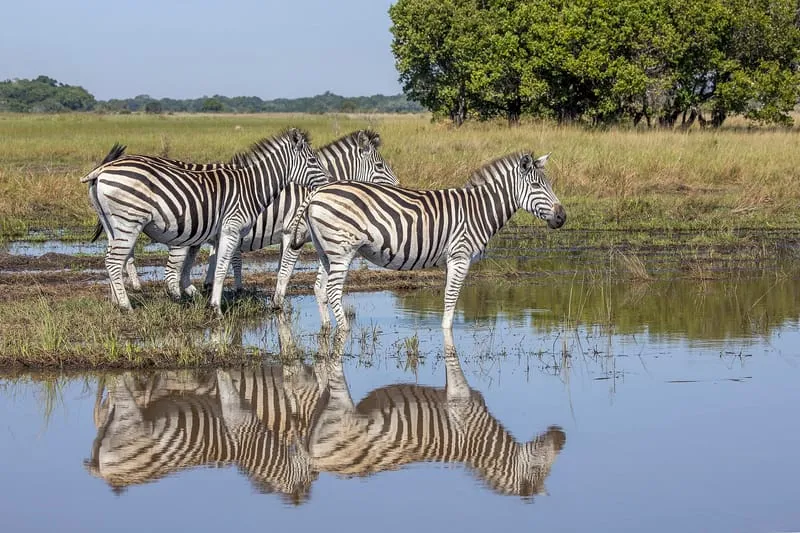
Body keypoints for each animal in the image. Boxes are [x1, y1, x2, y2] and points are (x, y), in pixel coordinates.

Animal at [81, 128, 331, 314]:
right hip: (129, 222)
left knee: (112, 260)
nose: (329, 183)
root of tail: (103, 169)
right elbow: (222, 268)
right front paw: (216, 308)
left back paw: (116, 302)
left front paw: (208, 299)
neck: (251, 187)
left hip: (113, 225)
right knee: (114, 261)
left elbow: (219, 266)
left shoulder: (220, 234)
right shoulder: (232, 229)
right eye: (312, 160)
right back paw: (126, 306)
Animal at [109, 130, 398, 303]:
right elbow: (285, 268)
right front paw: (279, 301)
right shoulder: (291, 232)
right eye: (380, 165)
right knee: (155, 265)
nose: (398, 187)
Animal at [287, 151, 566, 330]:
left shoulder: (450, 260)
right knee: (333, 291)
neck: (478, 209)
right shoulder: (460, 256)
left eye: (549, 184)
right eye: (536, 186)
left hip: (326, 251)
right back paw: (344, 331)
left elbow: (447, 299)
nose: (562, 217)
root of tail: (318, 192)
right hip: (342, 250)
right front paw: (447, 334)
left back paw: (326, 328)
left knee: (319, 288)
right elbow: (451, 298)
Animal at [307, 328, 566, 498]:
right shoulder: (465, 403)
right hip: (341, 414)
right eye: (538, 469)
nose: (563, 438)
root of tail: (316, 461)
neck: (480, 441)